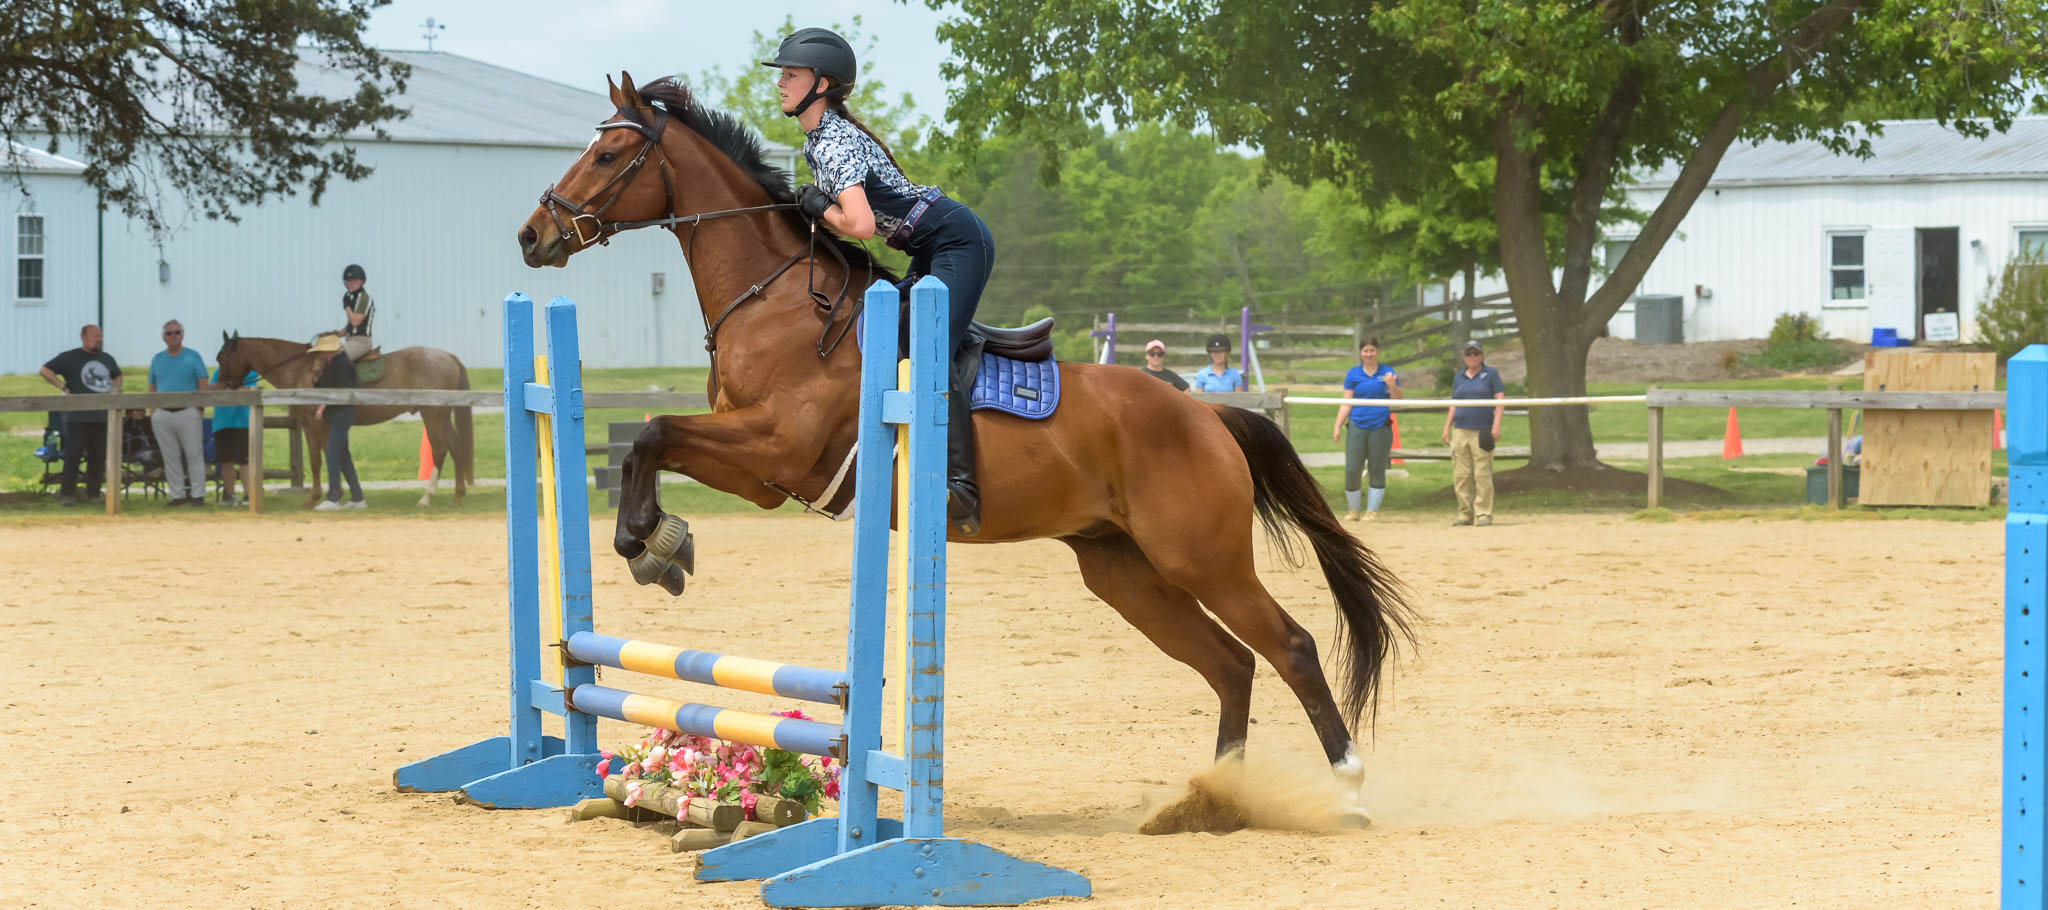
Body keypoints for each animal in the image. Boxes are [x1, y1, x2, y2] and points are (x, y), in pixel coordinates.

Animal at [212, 332, 479, 508]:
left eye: (222, 358)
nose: (220, 386)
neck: (300, 369)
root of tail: (449, 357)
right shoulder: (324, 426)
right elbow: (337, 457)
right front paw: (340, 494)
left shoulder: (314, 425)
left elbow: (317, 460)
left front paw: (316, 497)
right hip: (441, 416)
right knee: (455, 447)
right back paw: (457, 495)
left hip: (432, 414)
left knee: (440, 449)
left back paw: (426, 497)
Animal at [516, 74, 1409, 815]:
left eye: (608, 152)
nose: (531, 236)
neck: (774, 301)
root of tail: (1206, 415)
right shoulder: (758, 465)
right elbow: (651, 442)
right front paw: (655, 542)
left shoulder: (774, 454)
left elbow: (652, 434)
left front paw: (653, 542)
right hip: (1126, 569)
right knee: (1231, 664)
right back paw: (1216, 802)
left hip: (1200, 555)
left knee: (1289, 647)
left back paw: (1348, 791)